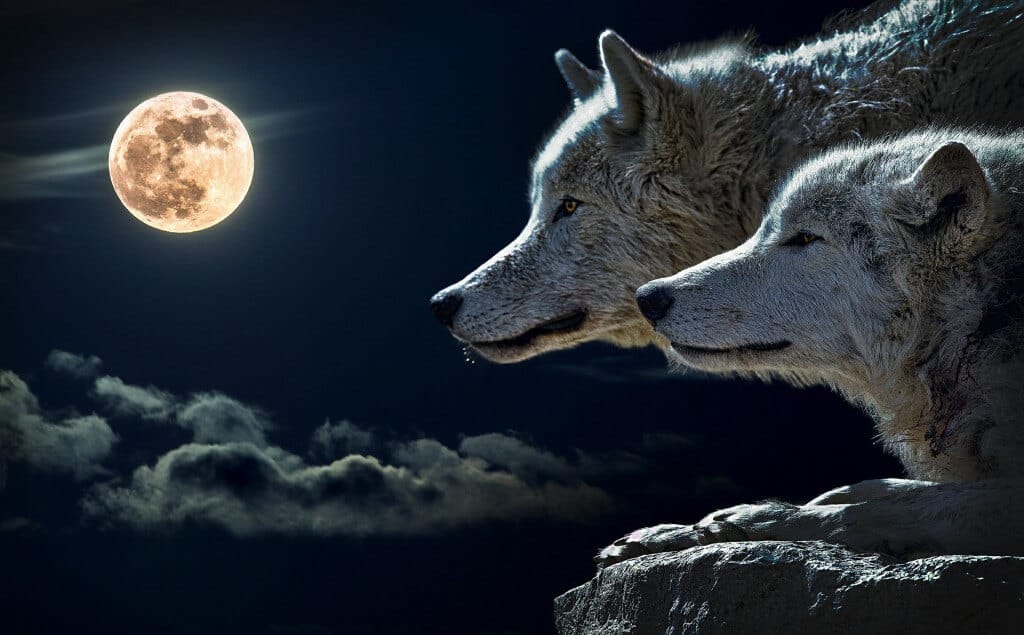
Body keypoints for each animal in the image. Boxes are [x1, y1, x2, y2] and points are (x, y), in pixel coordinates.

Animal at [598, 130, 1024, 565]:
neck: (979, 323)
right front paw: (671, 532)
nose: (647, 297)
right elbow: (880, 488)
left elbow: (871, 511)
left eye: (805, 238)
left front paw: (748, 521)